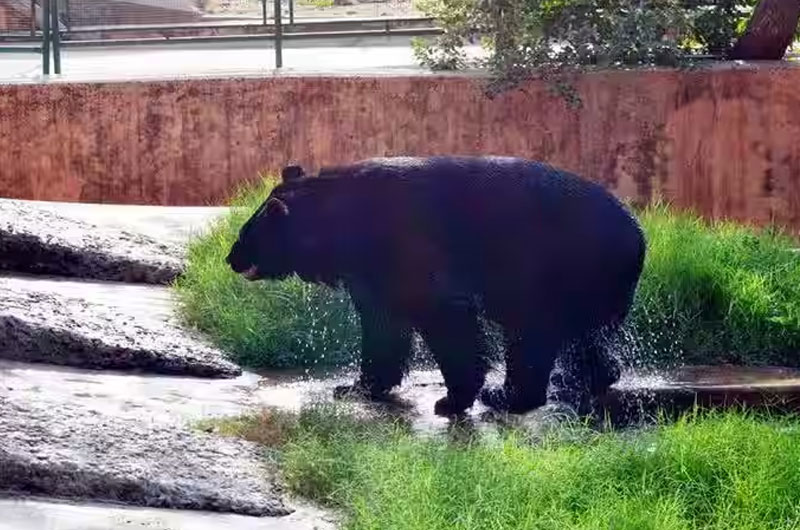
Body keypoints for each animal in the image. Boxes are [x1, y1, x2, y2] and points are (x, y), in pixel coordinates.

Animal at [225, 155, 644, 414]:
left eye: (245, 236)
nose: (231, 259)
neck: (344, 222)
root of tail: (637, 236)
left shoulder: (409, 245)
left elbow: (440, 312)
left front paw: (454, 398)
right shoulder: (370, 271)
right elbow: (383, 323)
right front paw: (356, 386)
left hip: (552, 266)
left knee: (532, 330)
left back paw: (508, 396)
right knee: (583, 337)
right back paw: (583, 380)